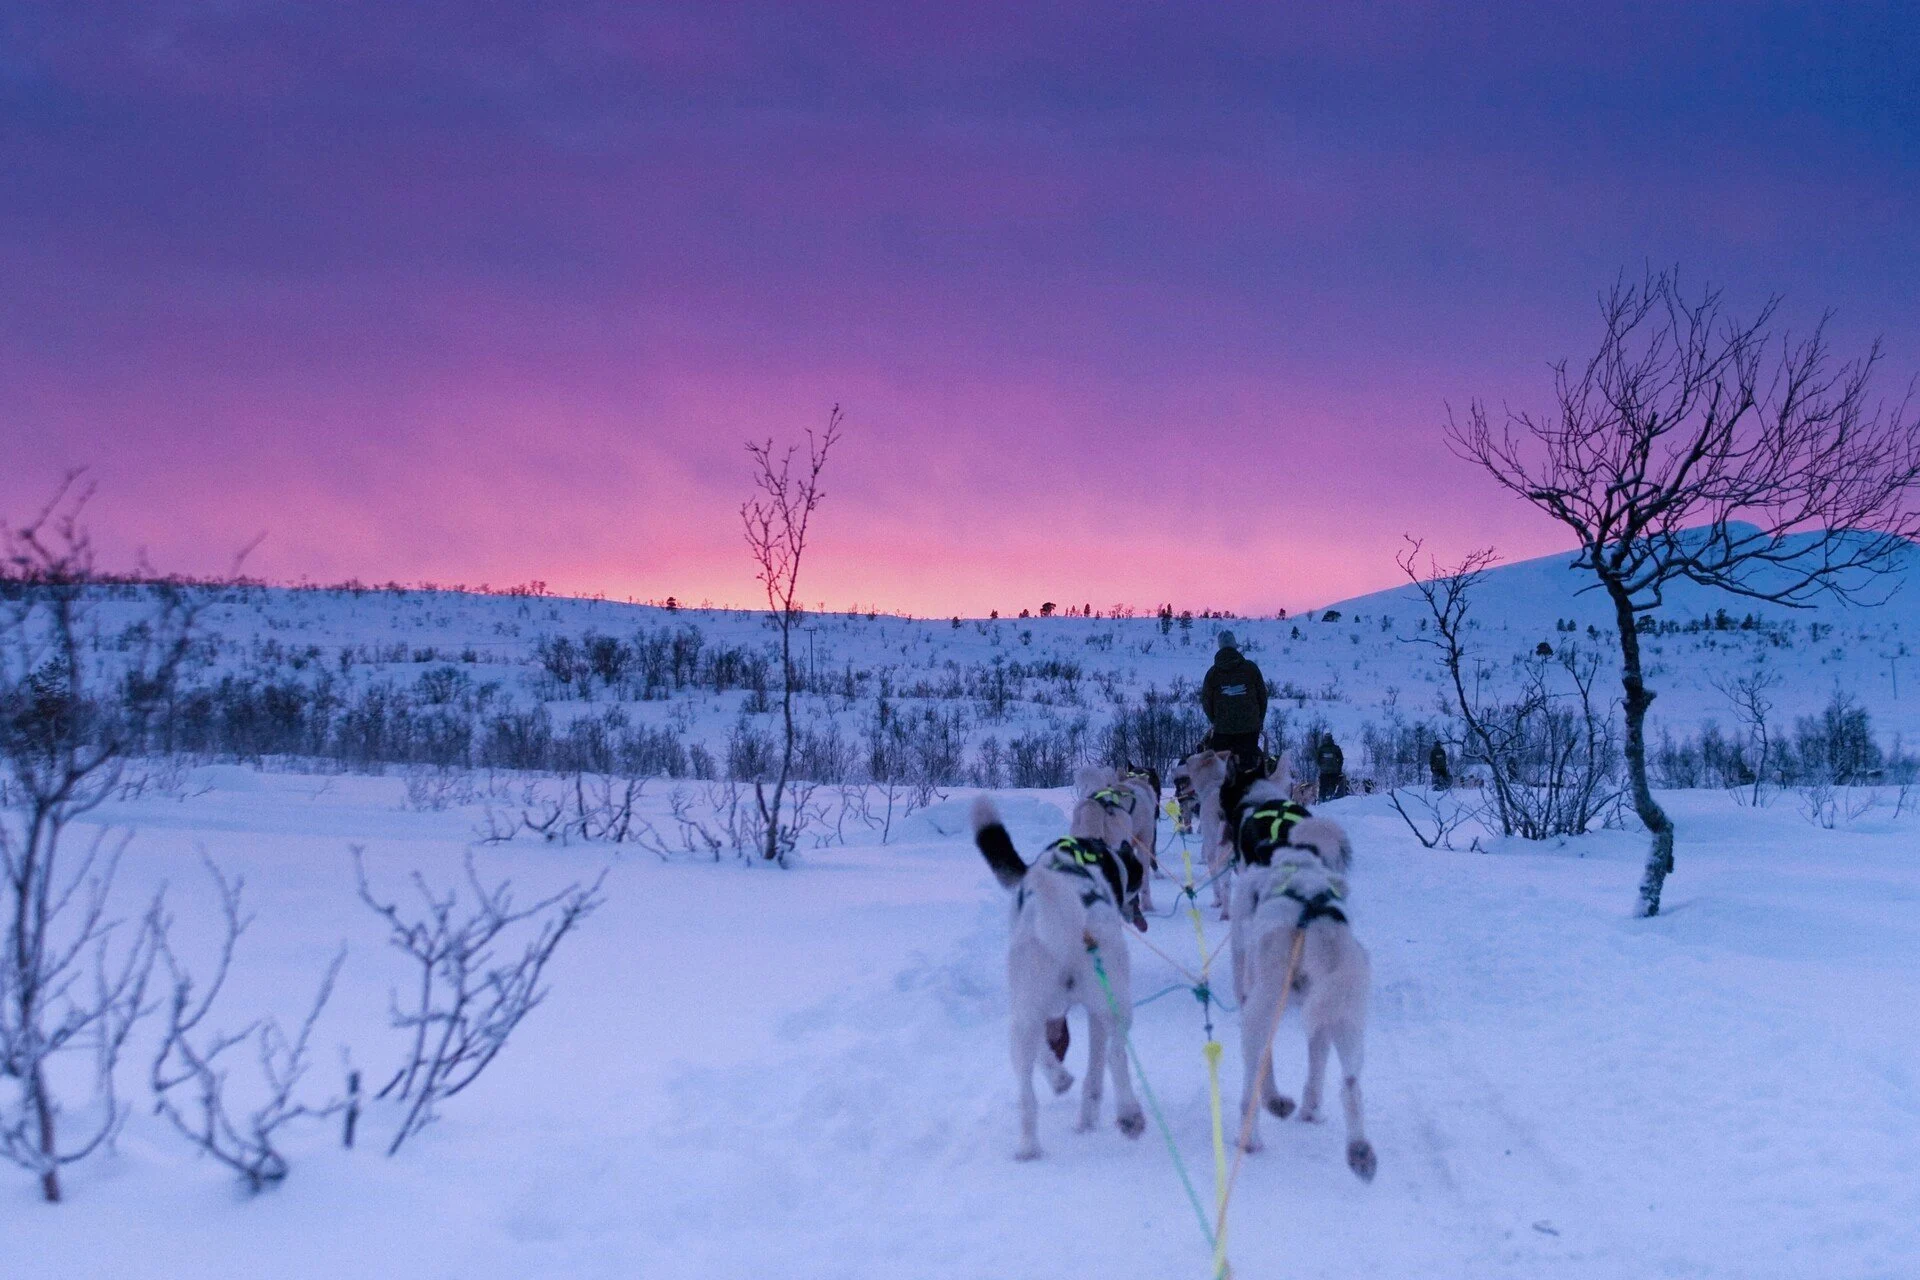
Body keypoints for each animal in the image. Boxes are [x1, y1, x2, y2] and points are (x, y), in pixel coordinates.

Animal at [1228, 817, 1382, 1189]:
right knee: (1351, 1086)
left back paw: (1250, 1136)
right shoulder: (1321, 1019)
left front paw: (1277, 1102)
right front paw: (1310, 1112)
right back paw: (1359, 1151)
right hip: (1346, 1017)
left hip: (1261, 1006)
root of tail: (1314, 915)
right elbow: (1316, 1068)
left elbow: (1267, 1064)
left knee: (1252, 1077)